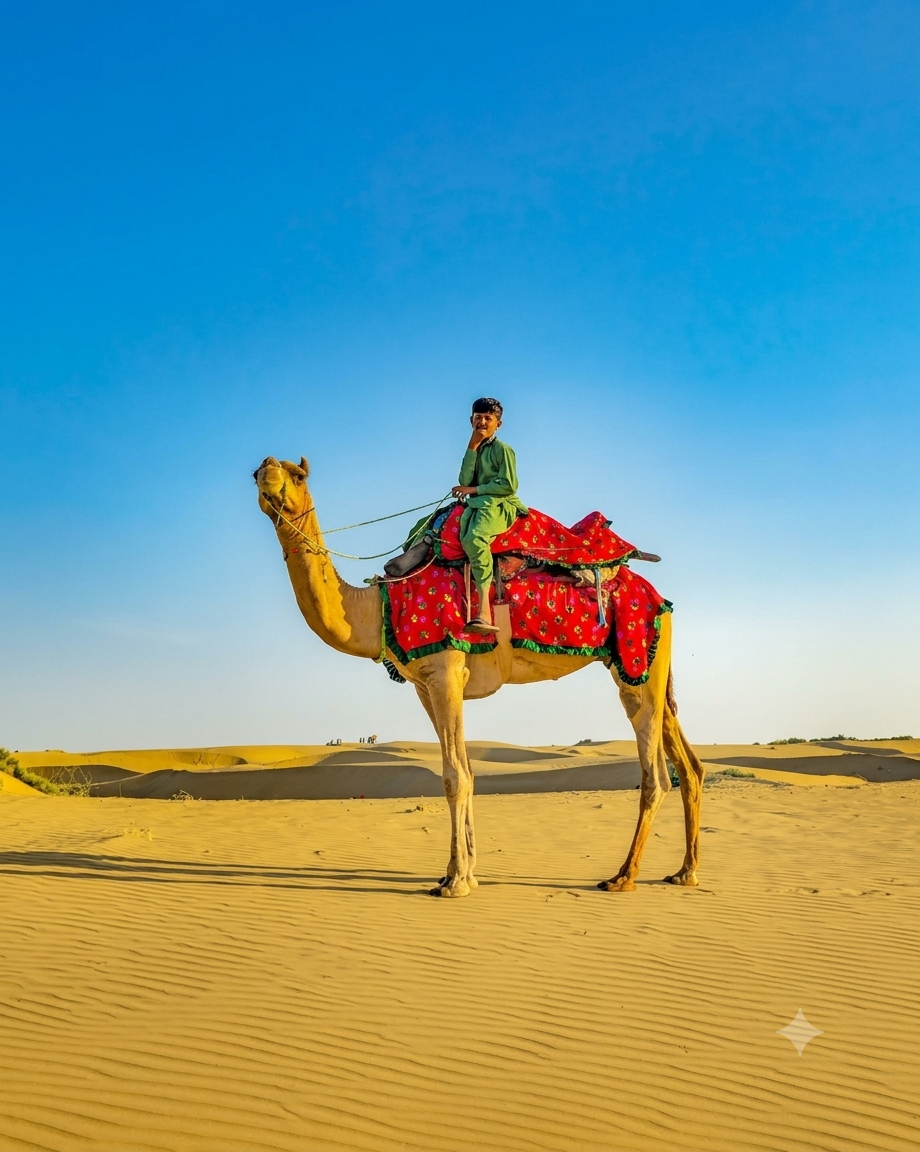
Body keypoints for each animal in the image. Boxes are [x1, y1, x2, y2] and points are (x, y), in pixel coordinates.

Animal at [255, 455, 706, 898]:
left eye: (298, 476)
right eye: (259, 472)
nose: (267, 472)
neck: (380, 604)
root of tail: (660, 598)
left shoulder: (445, 670)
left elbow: (454, 775)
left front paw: (456, 882)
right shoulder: (424, 685)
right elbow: (467, 770)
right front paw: (461, 872)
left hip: (634, 656)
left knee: (655, 773)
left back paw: (623, 876)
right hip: (646, 665)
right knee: (689, 763)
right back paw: (685, 872)